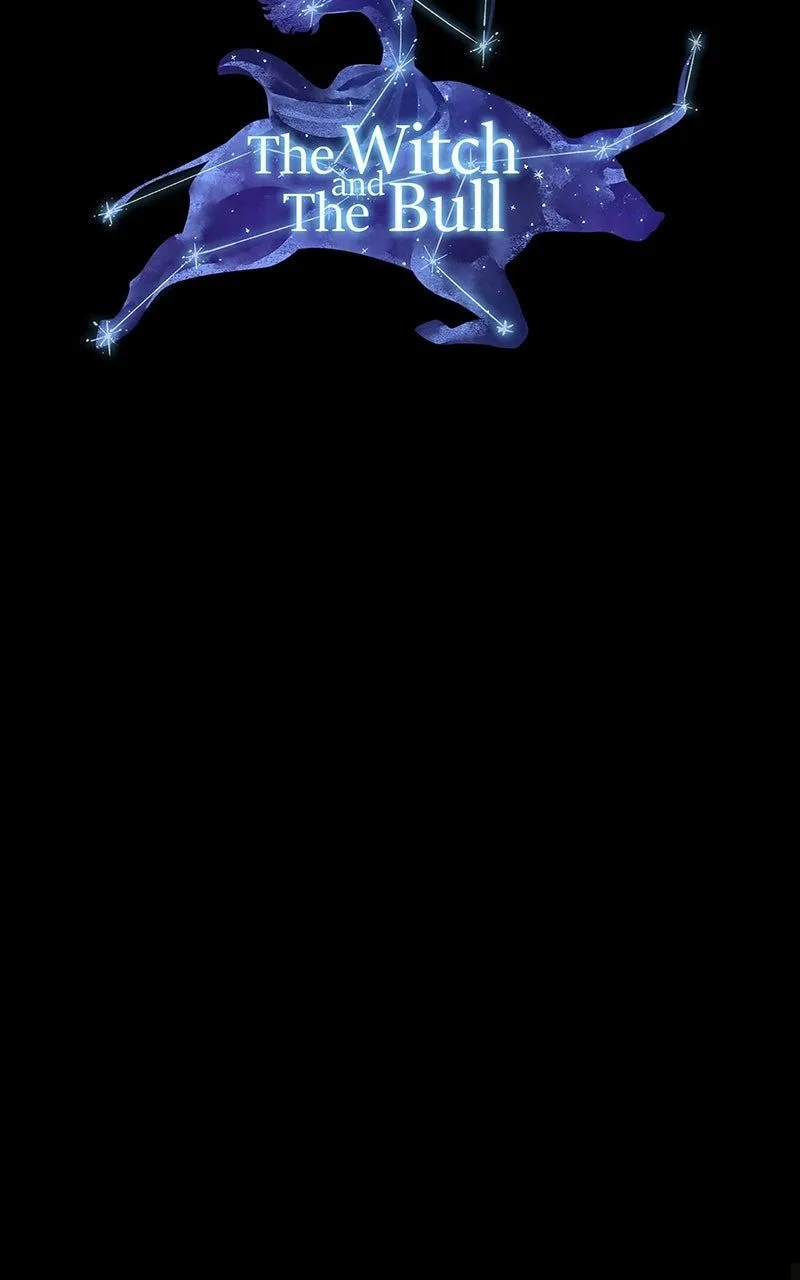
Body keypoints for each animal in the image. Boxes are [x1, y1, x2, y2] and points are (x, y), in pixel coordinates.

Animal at [92, 1, 701, 352]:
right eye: (611, 174)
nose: (652, 218)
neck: (528, 168)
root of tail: (226, 149)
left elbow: (511, 324)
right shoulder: (441, 261)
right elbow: (513, 328)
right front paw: (434, 332)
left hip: (266, 244)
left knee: (175, 255)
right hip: (238, 236)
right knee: (170, 255)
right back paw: (115, 328)